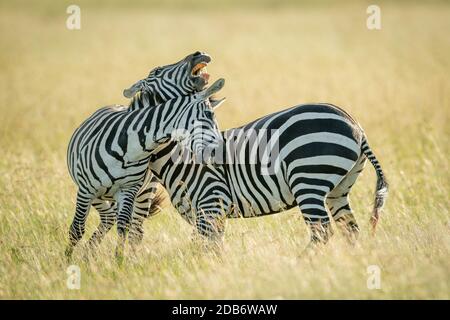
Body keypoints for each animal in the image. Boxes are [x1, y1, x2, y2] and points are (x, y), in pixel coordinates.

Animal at [65, 77, 225, 260]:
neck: (130, 149)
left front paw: (119, 261)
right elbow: (77, 229)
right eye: (209, 114)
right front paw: (66, 260)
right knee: (107, 218)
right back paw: (88, 254)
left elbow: (123, 228)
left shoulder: (128, 189)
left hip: (144, 192)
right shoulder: (86, 189)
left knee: (132, 229)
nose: (221, 150)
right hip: (94, 192)